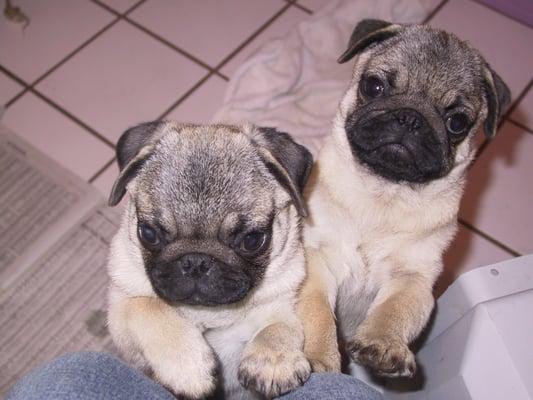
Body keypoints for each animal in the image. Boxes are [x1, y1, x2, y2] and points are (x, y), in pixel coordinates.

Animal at [105, 122, 312, 400]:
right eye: (148, 234)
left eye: (252, 240)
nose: (196, 262)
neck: (208, 313)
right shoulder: (121, 316)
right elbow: (145, 307)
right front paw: (187, 365)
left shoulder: (280, 304)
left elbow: (280, 327)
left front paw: (273, 360)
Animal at [300, 19, 512, 378]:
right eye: (373, 87)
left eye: (457, 122)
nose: (410, 117)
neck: (383, 195)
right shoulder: (316, 261)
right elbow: (316, 312)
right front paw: (317, 358)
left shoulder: (413, 279)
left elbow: (395, 310)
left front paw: (383, 344)